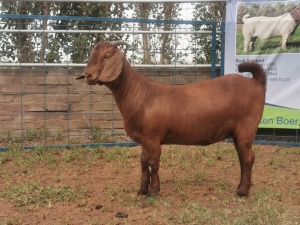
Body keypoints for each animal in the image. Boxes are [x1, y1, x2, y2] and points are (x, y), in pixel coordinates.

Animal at [76, 41, 266, 198]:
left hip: (246, 128)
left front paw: (153, 192)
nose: (88, 75)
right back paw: (241, 187)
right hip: (238, 133)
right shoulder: (145, 139)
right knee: (242, 158)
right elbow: (143, 162)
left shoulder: (153, 137)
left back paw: (242, 192)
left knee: (248, 158)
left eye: (107, 55)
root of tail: (256, 82)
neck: (139, 93)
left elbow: (154, 163)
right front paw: (142, 190)